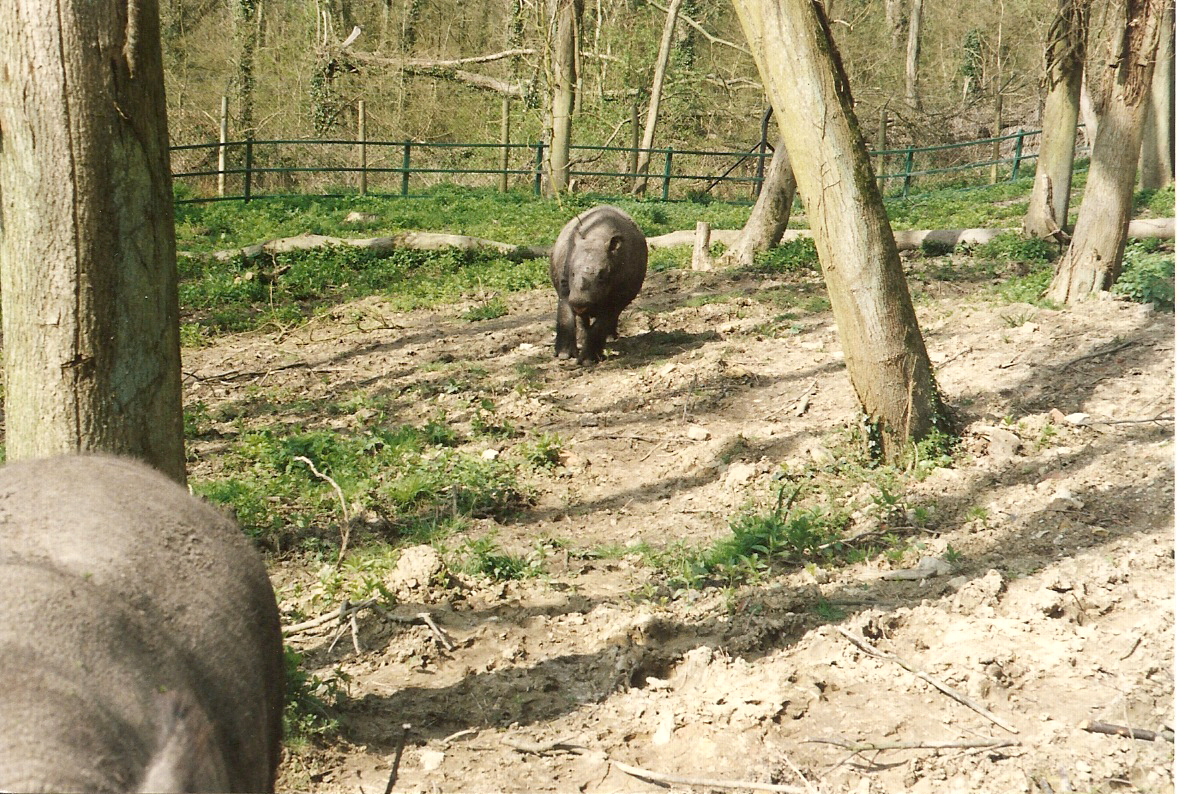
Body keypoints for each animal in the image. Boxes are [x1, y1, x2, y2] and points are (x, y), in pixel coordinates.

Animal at [550, 205, 648, 364]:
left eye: (602, 276)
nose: (579, 302)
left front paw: (588, 360)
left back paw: (609, 338)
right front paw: (564, 355)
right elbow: (565, 311)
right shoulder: (564, 283)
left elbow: (603, 322)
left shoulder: (619, 293)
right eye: (572, 273)